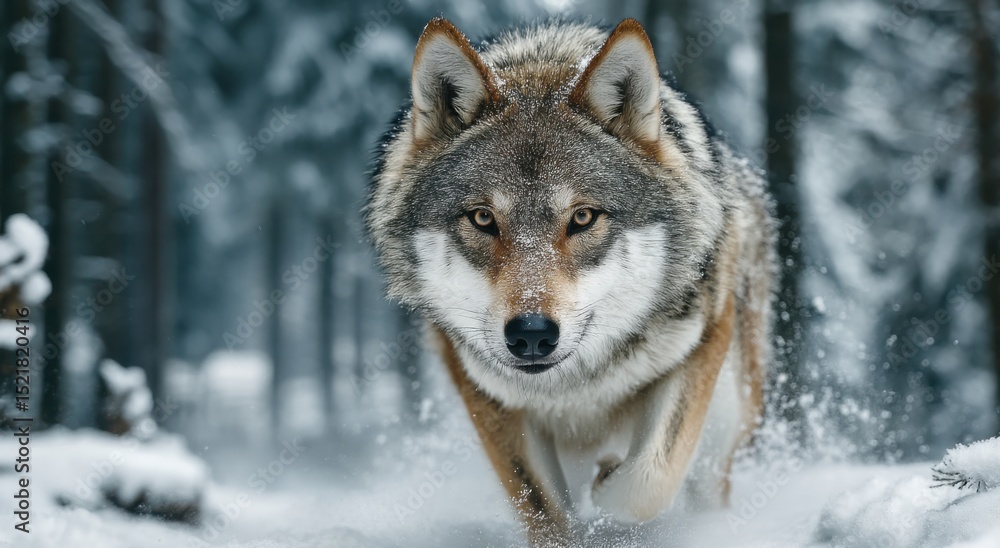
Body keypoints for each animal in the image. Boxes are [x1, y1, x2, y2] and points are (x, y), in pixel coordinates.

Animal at [367, 16, 777, 545]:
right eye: (483, 219)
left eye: (582, 217)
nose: (531, 335)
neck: (575, 386)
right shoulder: (488, 396)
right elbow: (545, 512)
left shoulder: (699, 347)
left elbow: (646, 482)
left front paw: (609, 483)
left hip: (729, 414)